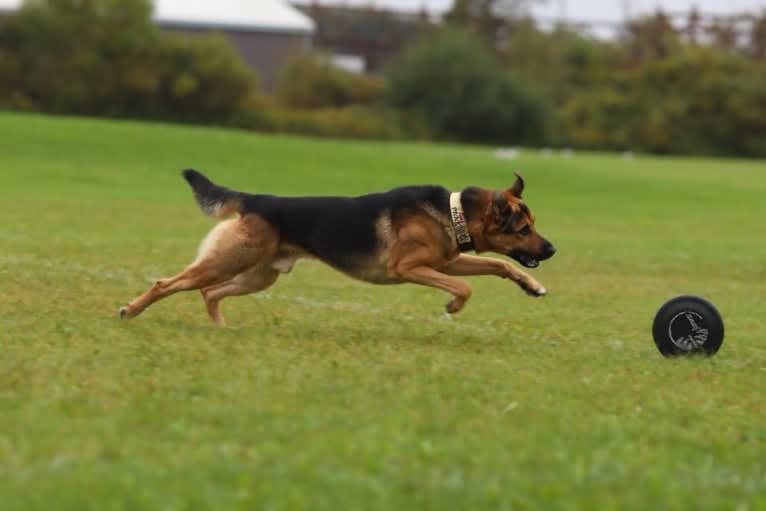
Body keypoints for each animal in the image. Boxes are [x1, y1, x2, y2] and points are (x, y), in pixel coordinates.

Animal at [117, 170, 556, 326]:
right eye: (523, 229)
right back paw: (130, 310)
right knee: (167, 283)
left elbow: (501, 268)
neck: (454, 212)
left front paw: (532, 287)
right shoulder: (409, 269)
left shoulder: (447, 262)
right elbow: (466, 287)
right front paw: (452, 307)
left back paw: (221, 329)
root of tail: (256, 199)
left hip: (258, 276)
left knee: (210, 293)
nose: (552, 250)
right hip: (227, 262)